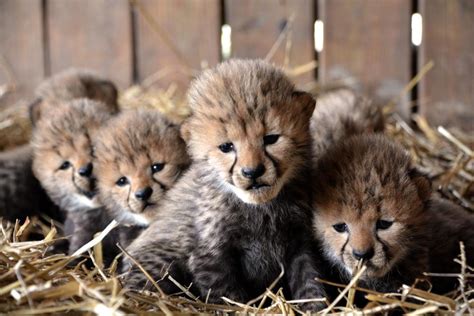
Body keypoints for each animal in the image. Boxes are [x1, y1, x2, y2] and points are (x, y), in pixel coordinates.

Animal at [123, 58, 326, 308]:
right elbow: (227, 295)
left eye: (271, 139)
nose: (252, 172)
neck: (260, 208)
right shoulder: (210, 255)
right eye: (227, 147)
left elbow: (310, 282)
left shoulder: (301, 245)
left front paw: (316, 307)